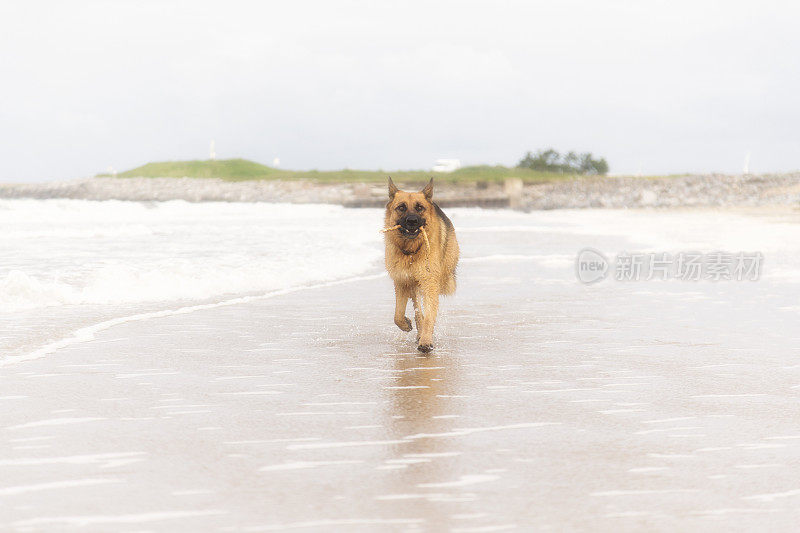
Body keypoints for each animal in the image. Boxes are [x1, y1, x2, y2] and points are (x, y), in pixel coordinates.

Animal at [384, 179, 460, 354]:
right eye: (401, 207)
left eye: (419, 208)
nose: (412, 221)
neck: (411, 251)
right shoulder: (401, 282)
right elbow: (398, 315)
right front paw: (406, 325)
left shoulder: (429, 283)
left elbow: (430, 315)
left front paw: (426, 341)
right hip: (414, 286)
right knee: (418, 310)